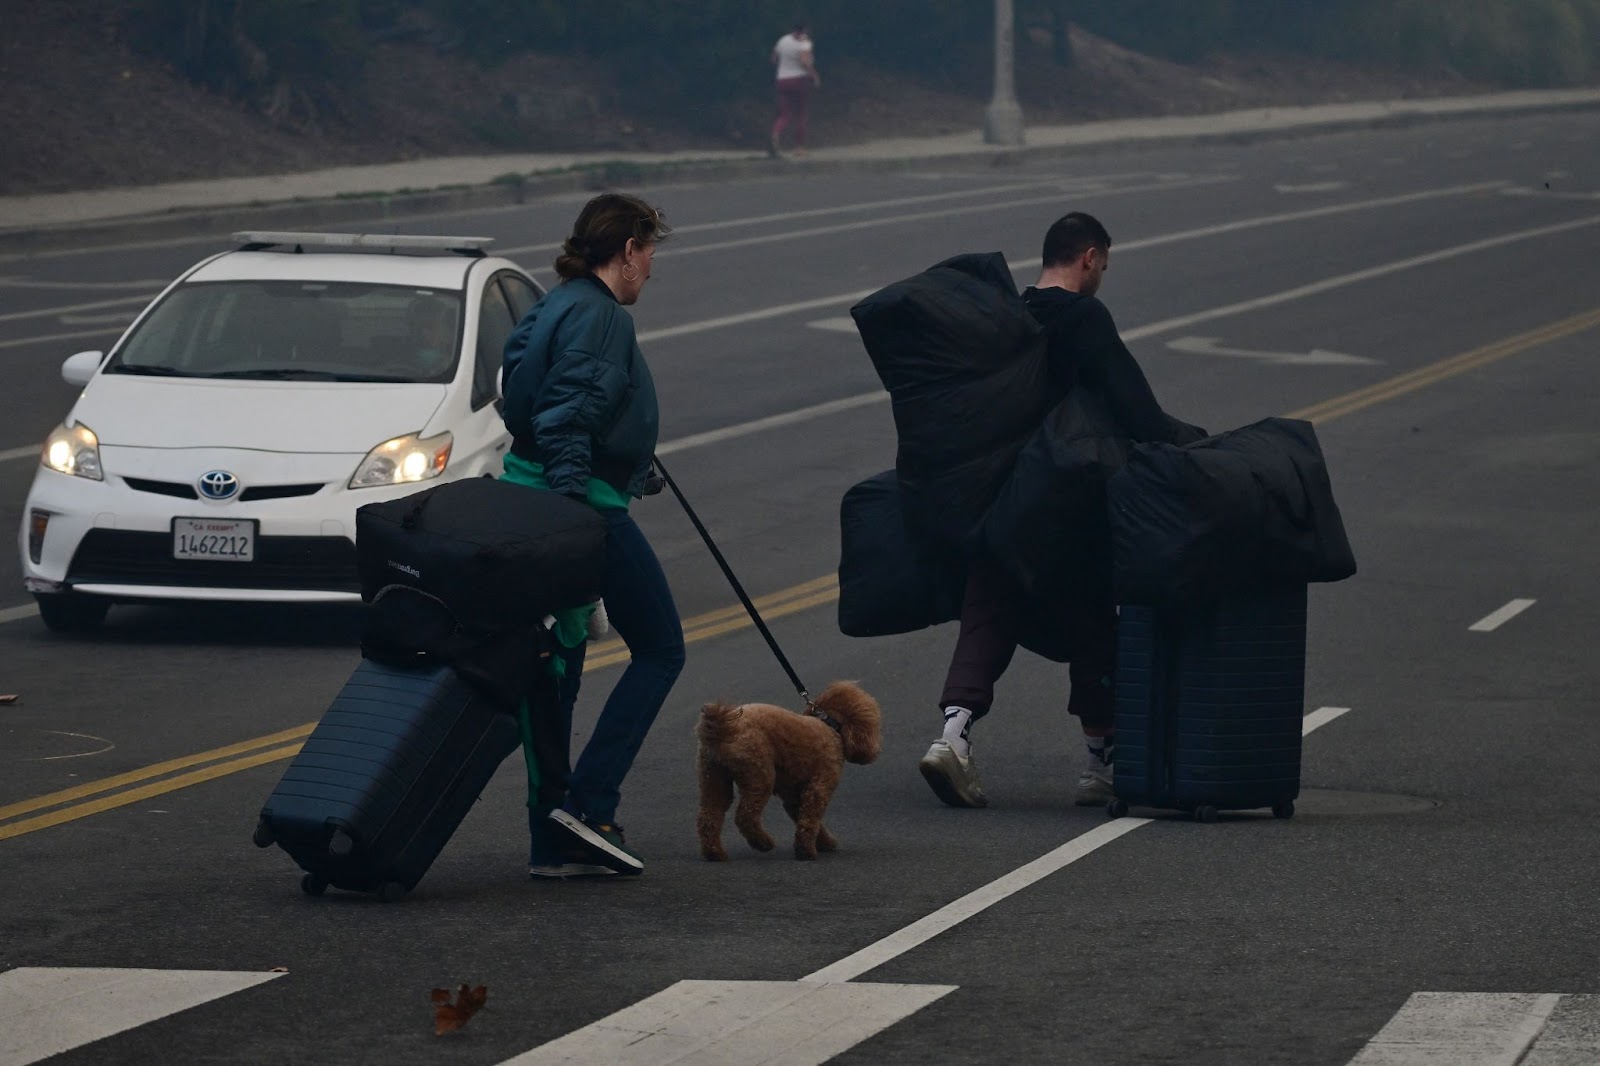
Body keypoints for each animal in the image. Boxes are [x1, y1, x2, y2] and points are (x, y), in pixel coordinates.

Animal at [694, 681, 883, 857]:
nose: (875, 750)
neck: (830, 725)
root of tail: (722, 729)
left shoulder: (793, 794)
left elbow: (803, 817)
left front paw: (824, 842)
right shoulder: (820, 785)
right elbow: (810, 819)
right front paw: (806, 851)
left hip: (713, 776)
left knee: (709, 815)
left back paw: (714, 853)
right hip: (759, 774)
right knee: (745, 816)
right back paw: (763, 843)